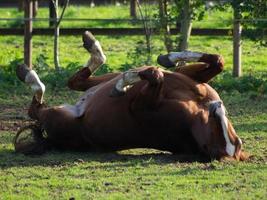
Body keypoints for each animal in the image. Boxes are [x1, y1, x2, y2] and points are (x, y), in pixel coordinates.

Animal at [14, 30, 249, 161]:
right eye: (236, 140)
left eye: (229, 144)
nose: (216, 108)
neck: (196, 106)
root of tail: (49, 138)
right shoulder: (189, 75)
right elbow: (217, 60)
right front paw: (167, 57)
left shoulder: (139, 107)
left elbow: (154, 75)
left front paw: (123, 84)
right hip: (97, 83)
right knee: (76, 81)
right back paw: (90, 44)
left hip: (55, 116)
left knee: (36, 107)